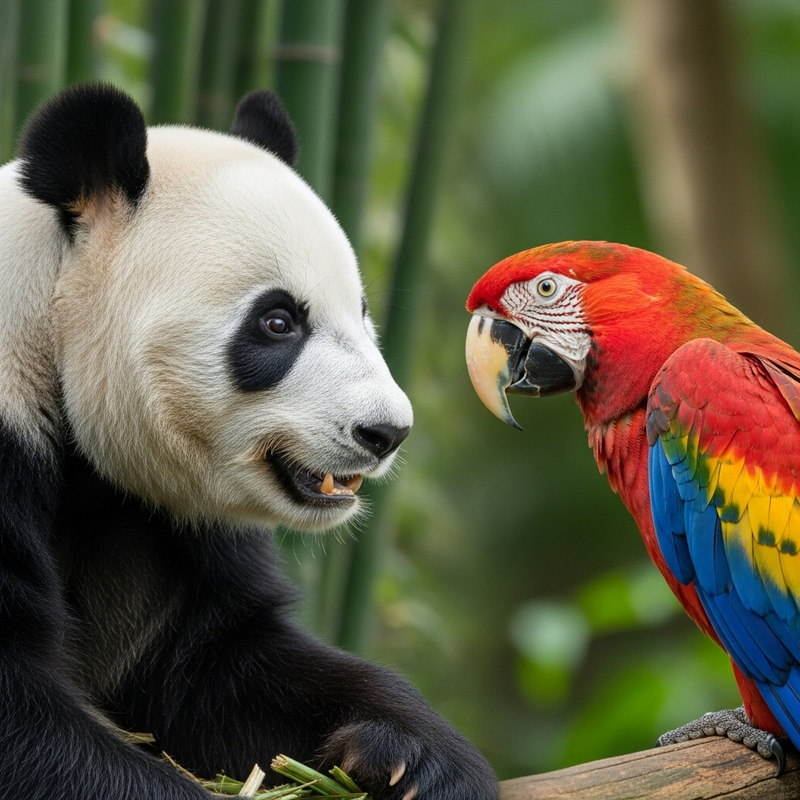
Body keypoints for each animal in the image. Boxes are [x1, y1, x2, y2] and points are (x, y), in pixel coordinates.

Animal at [0, 84, 497, 800]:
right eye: (278, 322)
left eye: (363, 313)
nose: (386, 431)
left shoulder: (166, 521)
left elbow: (215, 665)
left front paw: (415, 756)